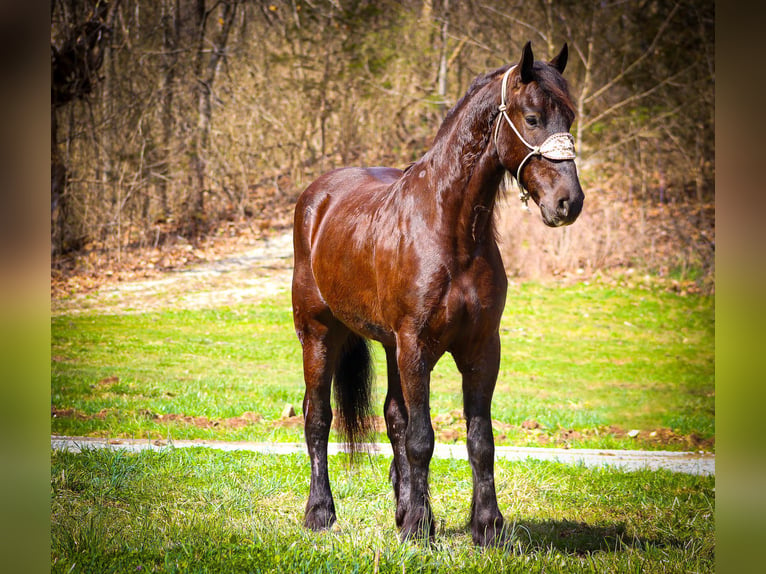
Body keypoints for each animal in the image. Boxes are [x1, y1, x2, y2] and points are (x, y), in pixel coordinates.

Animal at [292, 41, 584, 548]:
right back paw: (321, 513)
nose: (569, 202)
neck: (450, 231)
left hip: (388, 346)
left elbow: (479, 439)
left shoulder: (481, 349)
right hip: (319, 335)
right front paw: (417, 529)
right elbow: (421, 438)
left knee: (392, 417)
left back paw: (403, 509)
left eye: (568, 116)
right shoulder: (416, 346)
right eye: (531, 118)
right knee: (318, 418)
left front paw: (486, 527)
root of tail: (317, 196)